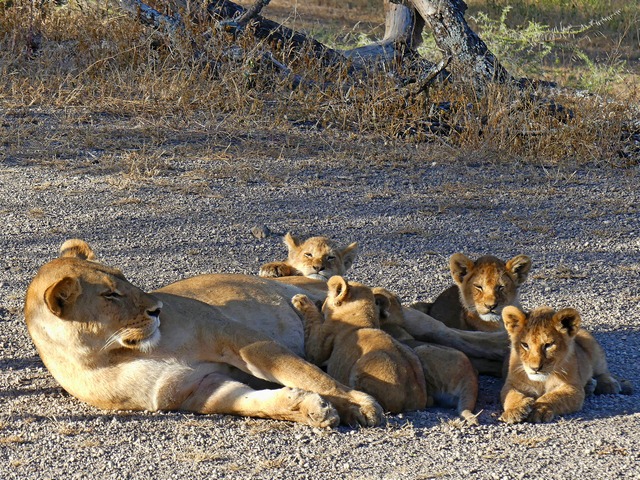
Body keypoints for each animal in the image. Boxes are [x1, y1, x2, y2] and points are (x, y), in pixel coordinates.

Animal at [25, 240, 384, 428]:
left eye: (123, 277)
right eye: (110, 295)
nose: (157, 309)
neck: (111, 355)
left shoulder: (230, 334)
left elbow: (302, 372)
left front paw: (358, 404)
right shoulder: (197, 389)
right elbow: (252, 403)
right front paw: (308, 408)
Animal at [291, 277, 428, 414]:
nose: (319, 302)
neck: (362, 319)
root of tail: (417, 401)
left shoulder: (317, 348)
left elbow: (313, 320)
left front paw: (301, 300)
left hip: (362, 369)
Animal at [499, 305, 631, 424]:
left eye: (548, 345)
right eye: (525, 345)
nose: (535, 368)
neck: (541, 381)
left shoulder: (573, 388)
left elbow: (553, 396)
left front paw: (539, 410)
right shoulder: (512, 384)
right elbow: (511, 396)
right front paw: (514, 411)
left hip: (594, 350)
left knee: (604, 372)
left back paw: (610, 384)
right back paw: (590, 386)